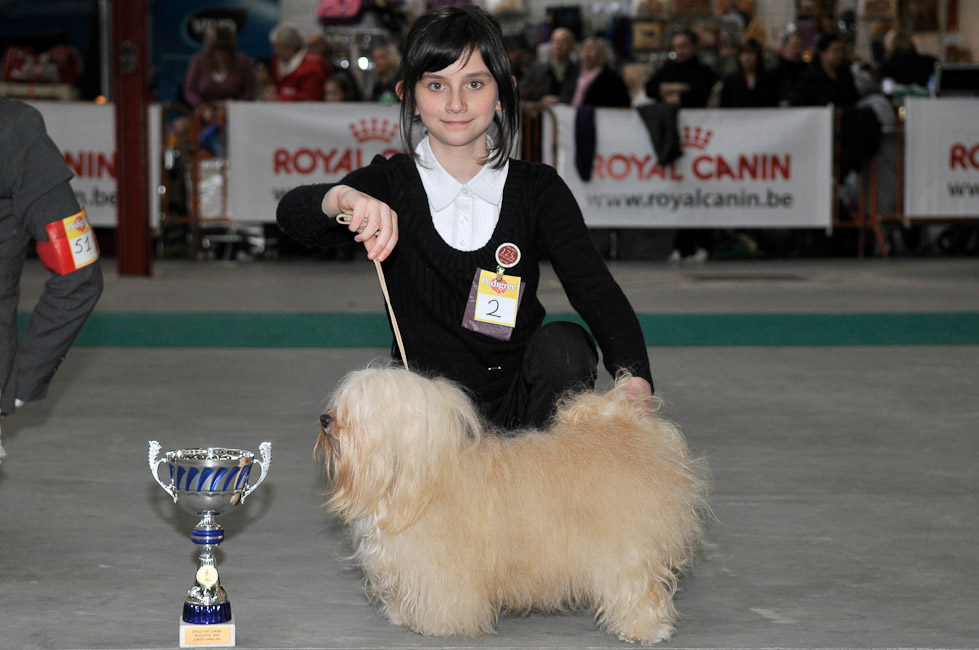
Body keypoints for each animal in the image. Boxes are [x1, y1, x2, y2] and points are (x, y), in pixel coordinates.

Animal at [318, 364, 708, 644]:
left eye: (360, 410)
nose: (325, 419)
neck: (414, 481)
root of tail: (629, 426)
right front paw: (401, 613)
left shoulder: (441, 567)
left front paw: (436, 624)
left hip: (626, 547)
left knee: (638, 587)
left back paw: (643, 629)